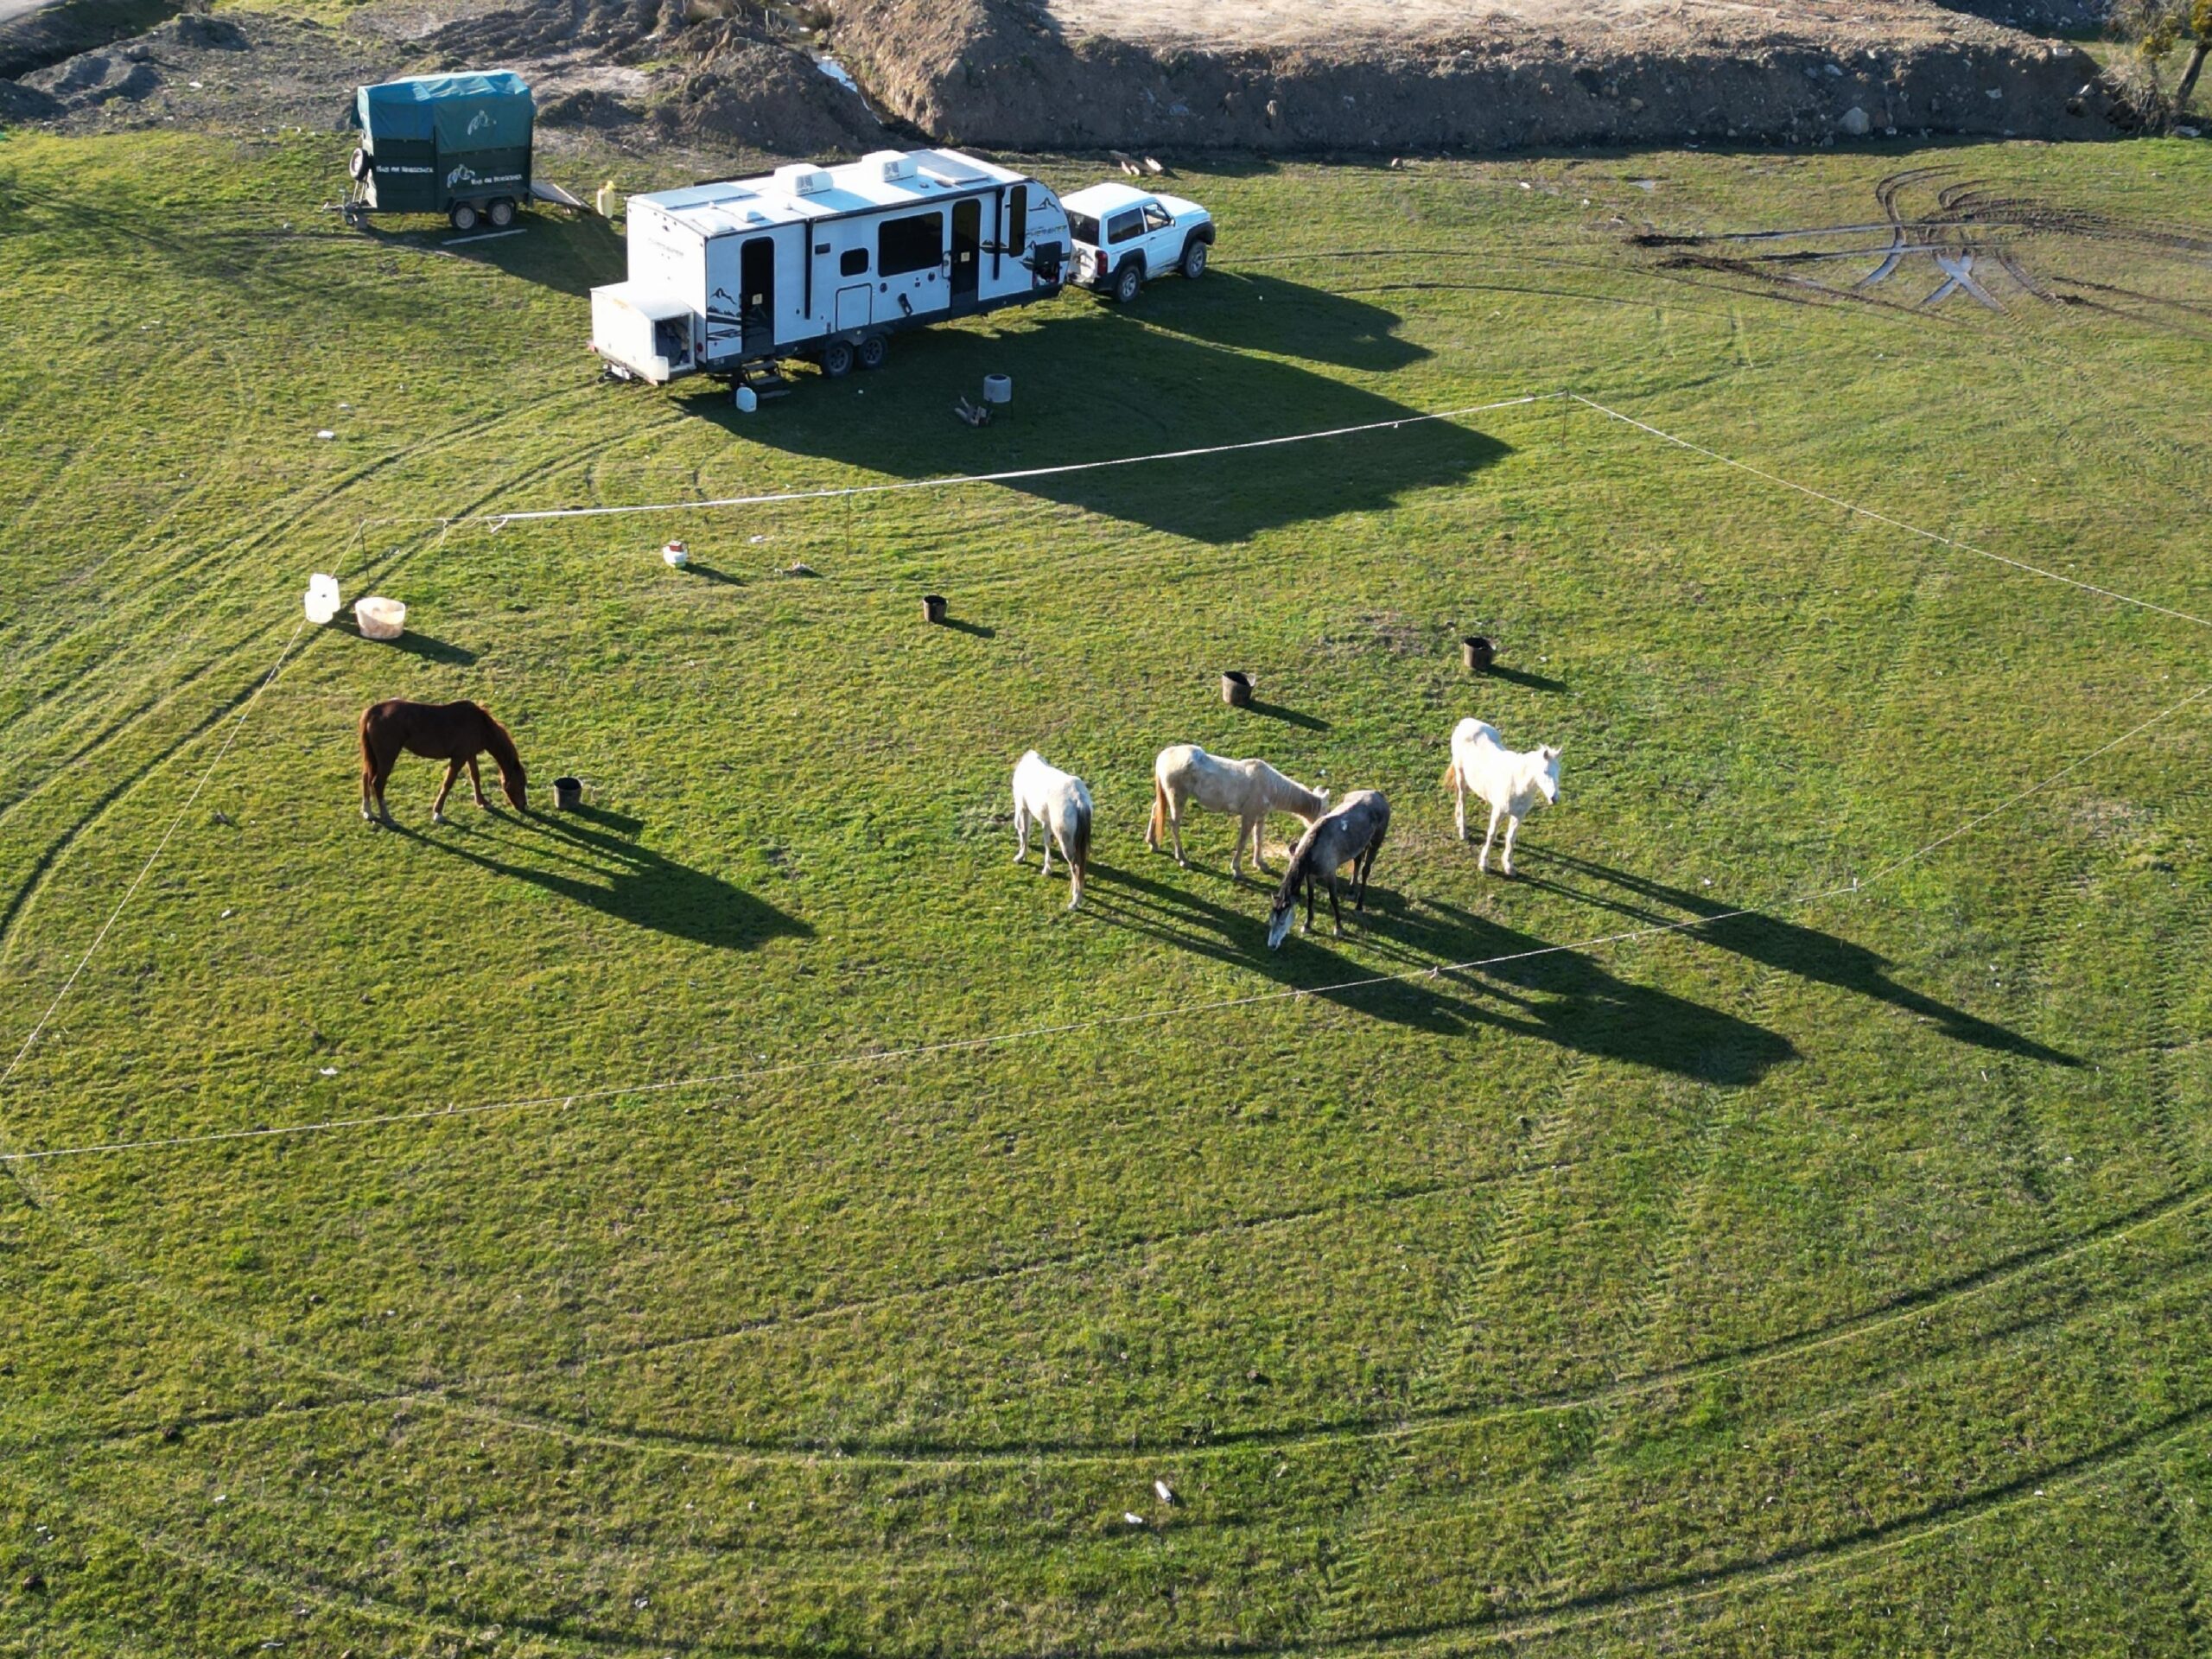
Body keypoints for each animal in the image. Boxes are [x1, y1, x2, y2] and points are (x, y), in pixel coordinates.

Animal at [366, 703, 531, 827]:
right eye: (521, 783)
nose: (523, 806)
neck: (480, 725)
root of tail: (374, 710)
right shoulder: (459, 758)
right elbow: (448, 783)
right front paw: (438, 813)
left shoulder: (470, 755)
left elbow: (475, 777)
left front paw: (482, 802)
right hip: (387, 758)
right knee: (377, 783)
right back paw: (387, 818)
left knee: (366, 778)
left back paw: (368, 812)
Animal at [1013, 752, 1092, 911]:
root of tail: (1079, 799)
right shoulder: (1046, 821)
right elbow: (1047, 842)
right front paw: (1047, 869)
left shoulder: (1023, 807)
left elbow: (1024, 832)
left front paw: (1021, 856)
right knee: (1081, 865)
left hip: (1065, 840)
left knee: (1076, 867)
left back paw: (1074, 902)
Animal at [1150, 752, 1318, 885]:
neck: (1269, 786)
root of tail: (1163, 756)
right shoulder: (1248, 817)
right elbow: (1242, 843)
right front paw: (1237, 870)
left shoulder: (1260, 817)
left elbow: (1258, 839)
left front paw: (1260, 864)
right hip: (1177, 798)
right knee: (1174, 825)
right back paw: (1182, 859)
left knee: (1155, 810)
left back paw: (1152, 843)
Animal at [1442, 716, 1566, 875]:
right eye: (1545, 771)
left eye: (1559, 771)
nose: (1554, 798)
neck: (1517, 784)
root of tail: (1466, 722)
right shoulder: (1498, 811)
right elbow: (1491, 834)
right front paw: (1484, 865)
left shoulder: (1518, 815)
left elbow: (1511, 838)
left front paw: (1509, 866)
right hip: (1461, 775)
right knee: (1462, 800)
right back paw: (1463, 831)